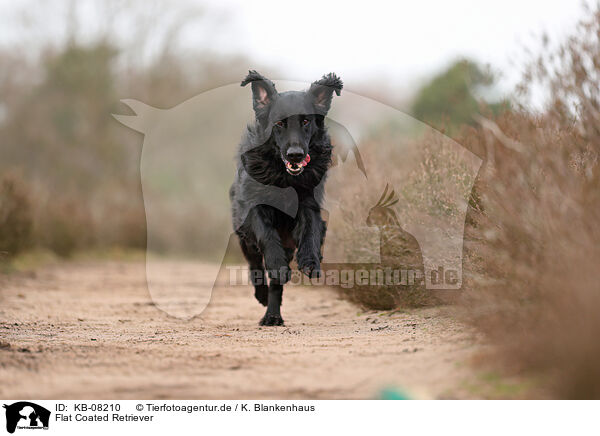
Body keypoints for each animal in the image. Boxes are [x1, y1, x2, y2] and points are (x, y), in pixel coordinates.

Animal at [230, 70, 342, 326]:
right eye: (279, 123)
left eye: (306, 121)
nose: (295, 155)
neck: (284, 177)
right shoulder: (254, 208)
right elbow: (266, 234)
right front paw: (278, 266)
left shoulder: (309, 203)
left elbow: (311, 228)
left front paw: (310, 261)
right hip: (243, 237)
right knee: (255, 266)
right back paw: (263, 296)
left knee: (276, 285)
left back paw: (272, 316)